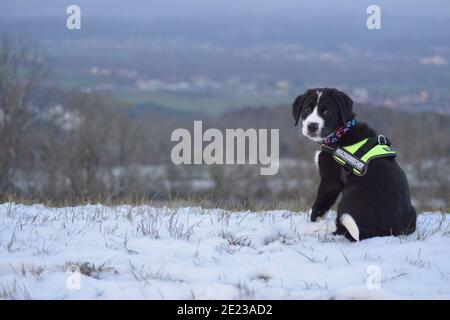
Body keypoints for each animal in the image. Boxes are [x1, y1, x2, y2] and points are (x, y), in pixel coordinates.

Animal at [294, 87, 416, 240]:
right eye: (306, 109)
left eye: (327, 112)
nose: (312, 126)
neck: (341, 132)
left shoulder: (330, 182)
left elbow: (319, 206)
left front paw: (311, 223)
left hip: (351, 193)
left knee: (342, 229)